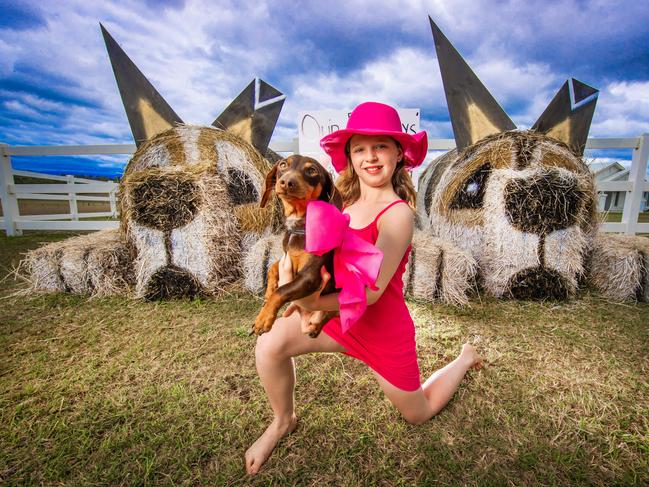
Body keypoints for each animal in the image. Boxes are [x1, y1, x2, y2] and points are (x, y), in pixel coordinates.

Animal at [252, 155, 344, 336]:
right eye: (282, 165)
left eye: (312, 170)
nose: (286, 182)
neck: (299, 228)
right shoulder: (285, 257)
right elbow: (272, 267)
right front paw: (268, 291)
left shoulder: (310, 277)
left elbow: (281, 291)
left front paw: (263, 318)